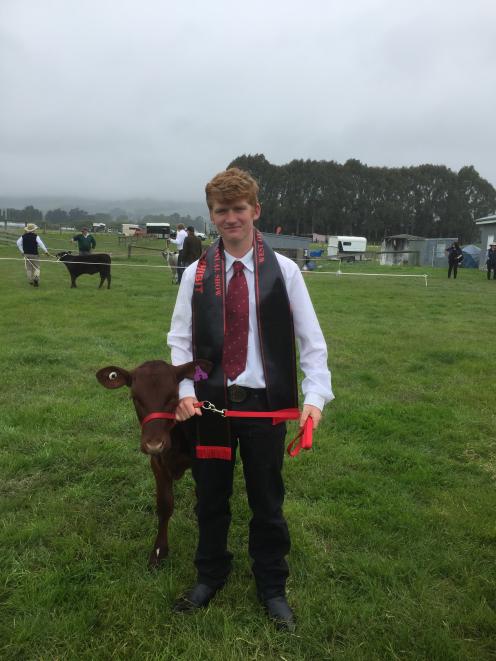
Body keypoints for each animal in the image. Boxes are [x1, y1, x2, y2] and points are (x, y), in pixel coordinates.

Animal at [97, 360, 211, 568]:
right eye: (135, 397)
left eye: (173, 396)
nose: (154, 444)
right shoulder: (157, 463)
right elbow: (165, 505)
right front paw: (159, 551)